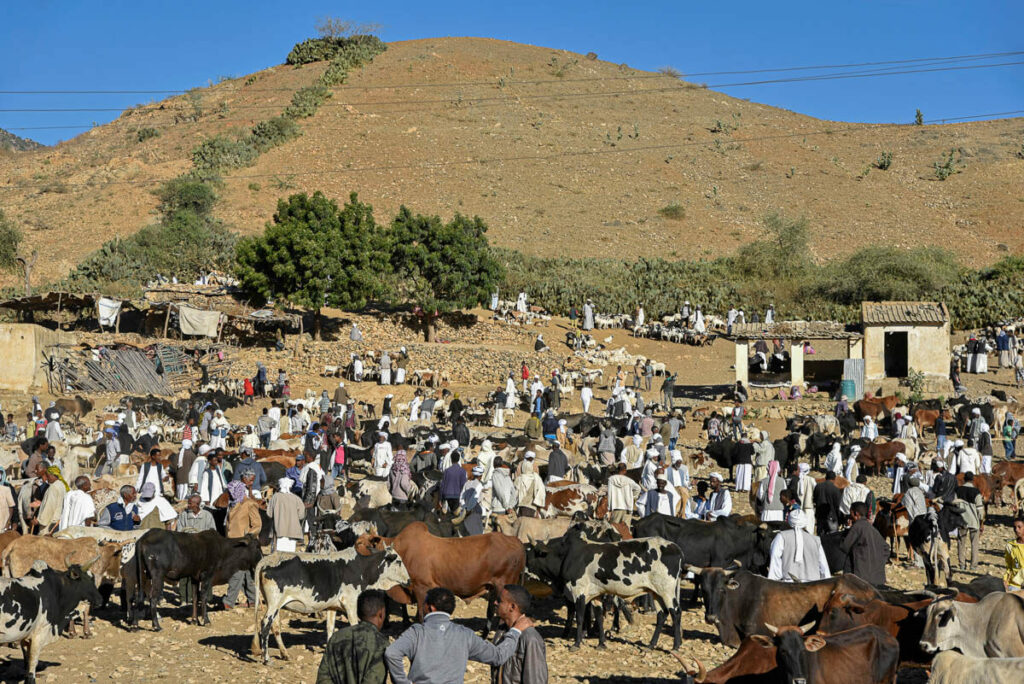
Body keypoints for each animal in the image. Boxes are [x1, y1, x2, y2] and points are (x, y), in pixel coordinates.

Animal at [253, 544, 409, 663]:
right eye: (399, 562)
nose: (408, 580)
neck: (360, 568)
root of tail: (267, 559)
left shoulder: (332, 606)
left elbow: (330, 628)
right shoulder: (350, 602)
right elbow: (354, 625)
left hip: (275, 606)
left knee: (275, 627)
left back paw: (284, 654)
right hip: (274, 604)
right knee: (265, 624)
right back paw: (266, 658)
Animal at [368, 524, 524, 634]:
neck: (403, 552)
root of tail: (515, 541)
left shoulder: (421, 588)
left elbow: (422, 615)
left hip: (504, 586)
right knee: (491, 611)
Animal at [528, 532, 679, 651]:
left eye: (534, 552)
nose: (526, 565)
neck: (568, 555)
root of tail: (675, 547)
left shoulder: (579, 592)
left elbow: (580, 617)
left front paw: (576, 644)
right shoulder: (596, 595)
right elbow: (599, 617)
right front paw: (601, 643)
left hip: (667, 591)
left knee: (675, 613)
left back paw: (675, 646)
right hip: (656, 593)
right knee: (662, 615)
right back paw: (651, 645)